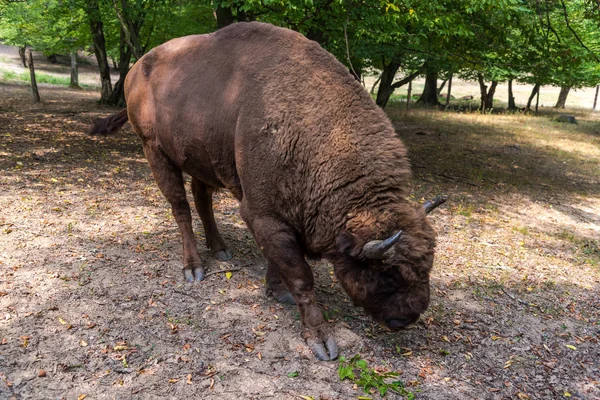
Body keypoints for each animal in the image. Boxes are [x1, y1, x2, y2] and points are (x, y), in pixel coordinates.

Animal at [90, 21, 446, 360]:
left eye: (428, 265)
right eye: (388, 274)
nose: (409, 317)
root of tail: (136, 69)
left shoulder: (281, 218)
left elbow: (283, 262)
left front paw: (277, 291)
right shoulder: (262, 215)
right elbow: (302, 276)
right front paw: (320, 341)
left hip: (203, 157)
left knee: (202, 199)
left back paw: (220, 248)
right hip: (155, 151)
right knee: (181, 208)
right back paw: (193, 267)